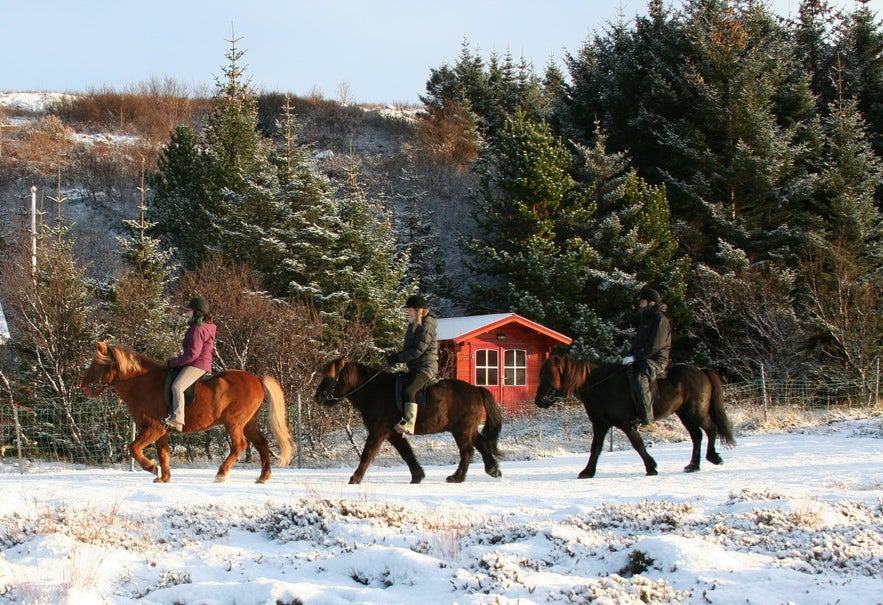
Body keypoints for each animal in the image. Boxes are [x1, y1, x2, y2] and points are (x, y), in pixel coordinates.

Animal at [80, 342, 294, 484]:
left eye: (98, 364)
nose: (83, 387)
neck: (143, 383)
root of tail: (257, 379)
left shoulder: (153, 428)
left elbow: (134, 448)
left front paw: (152, 468)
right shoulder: (161, 431)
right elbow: (163, 454)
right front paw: (164, 477)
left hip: (234, 422)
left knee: (240, 446)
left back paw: (221, 474)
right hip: (249, 423)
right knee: (262, 443)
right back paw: (263, 476)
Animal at [314, 356, 504, 484]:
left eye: (331, 377)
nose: (317, 397)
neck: (374, 391)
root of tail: (476, 389)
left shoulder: (378, 431)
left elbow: (367, 454)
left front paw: (355, 478)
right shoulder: (393, 434)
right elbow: (407, 454)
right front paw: (417, 475)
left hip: (461, 430)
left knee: (467, 451)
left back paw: (457, 477)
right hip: (467, 429)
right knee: (481, 443)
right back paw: (492, 469)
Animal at [536, 354, 736, 476]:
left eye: (549, 375)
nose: (539, 400)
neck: (602, 386)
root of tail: (701, 371)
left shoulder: (627, 424)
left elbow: (638, 445)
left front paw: (651, 467)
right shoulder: (600, 425)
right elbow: (596, 448)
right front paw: (587, 472)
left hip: (696, 412)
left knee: (711, 429)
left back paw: (713, 457)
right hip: (684, 414)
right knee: (697, 435)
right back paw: (694, 465)